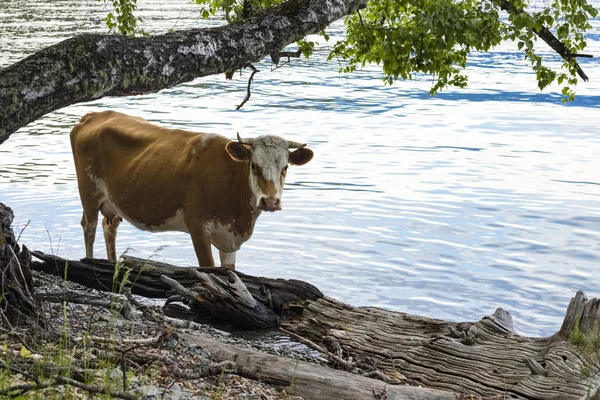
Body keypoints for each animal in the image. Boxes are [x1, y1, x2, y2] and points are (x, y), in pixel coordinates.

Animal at [70, 111, 314, 270]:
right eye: (254, 165)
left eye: (285, 167)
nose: (270, 201)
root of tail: (95, 114)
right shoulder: (198, 226)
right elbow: (209, 269)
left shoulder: (229, 240)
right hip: (88, 193)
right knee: (89, 227)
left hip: (112, 202)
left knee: (109, 228)